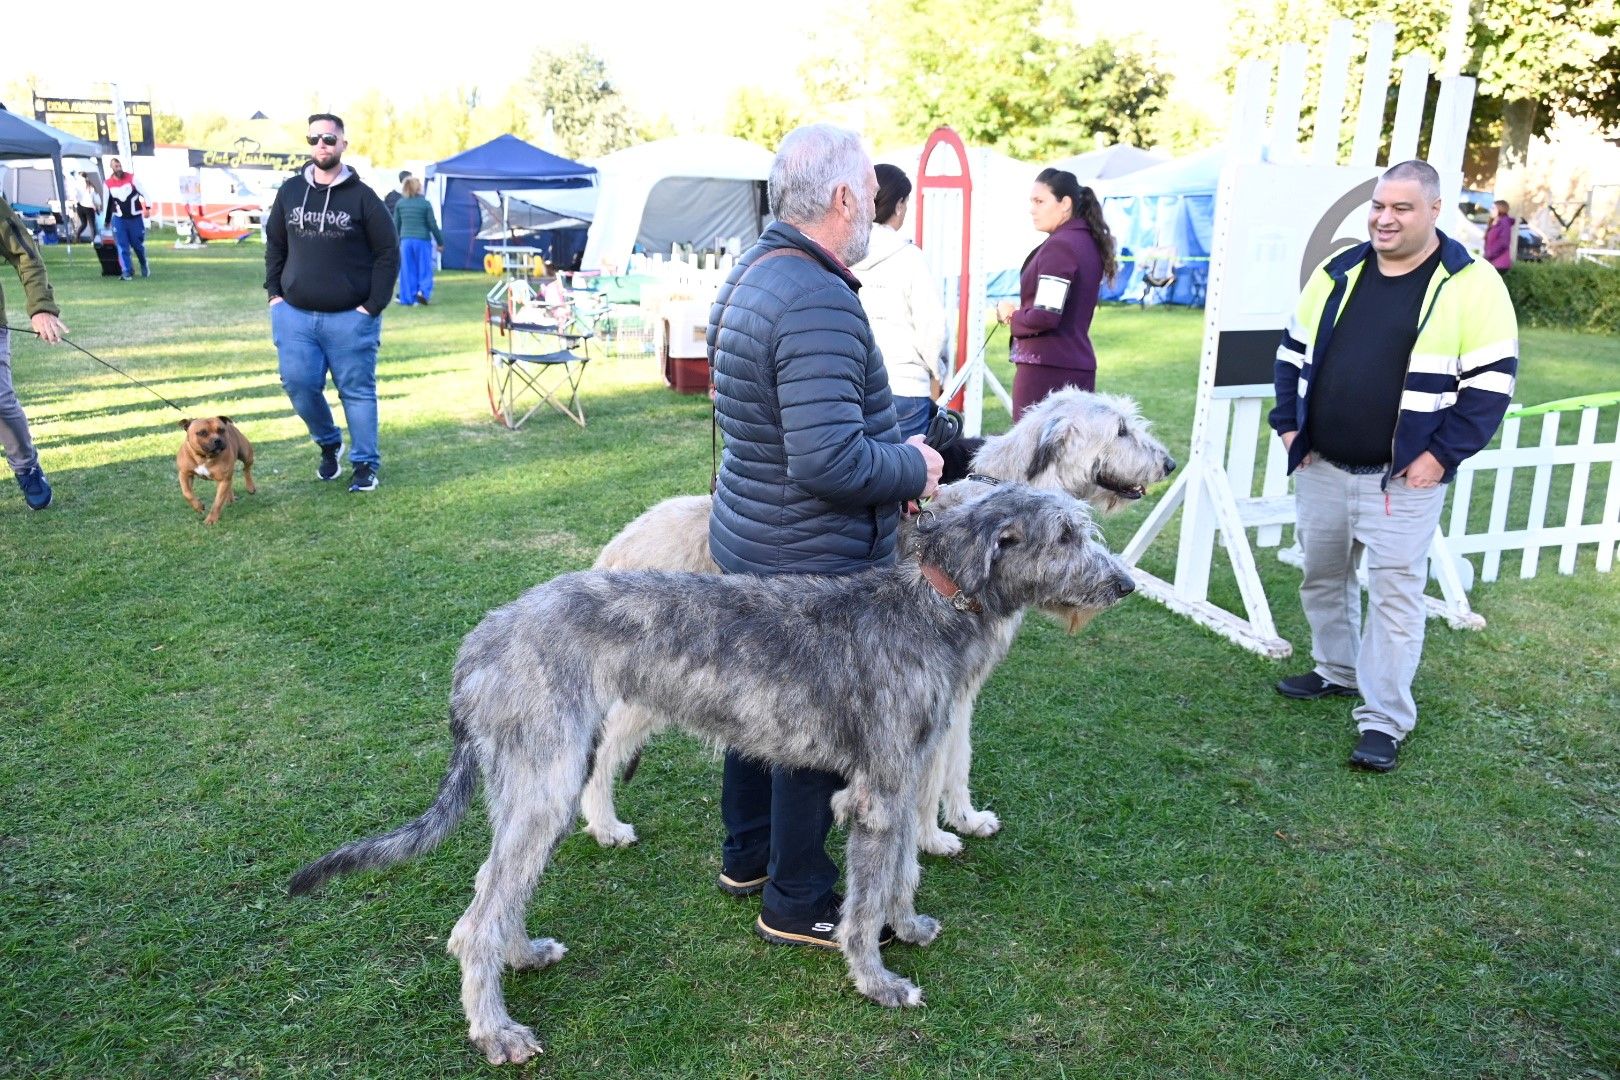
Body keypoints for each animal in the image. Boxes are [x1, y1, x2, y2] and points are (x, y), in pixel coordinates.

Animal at [285, 488, 1134, 1062]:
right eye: (1066, 535)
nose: (1125, 584)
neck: (930, 604)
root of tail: (482, 640)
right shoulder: (878, 791)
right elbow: (865, 898)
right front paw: (876, 977)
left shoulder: (897, 780)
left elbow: (901, 871)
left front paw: (909, 925)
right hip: (549, 776)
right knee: (475, 918)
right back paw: (495, 1028)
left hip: (530, 784)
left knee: (495, 888)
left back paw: (520, 955)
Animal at [589, 388, 1172, 854]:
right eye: (1121, 429)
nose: (1167, 463)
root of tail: (616, 547)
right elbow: (930, 771)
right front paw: (932, 838)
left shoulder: (960, 688)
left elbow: (958, 758)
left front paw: (966, 818)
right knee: (604, 746)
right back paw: (602, 823)